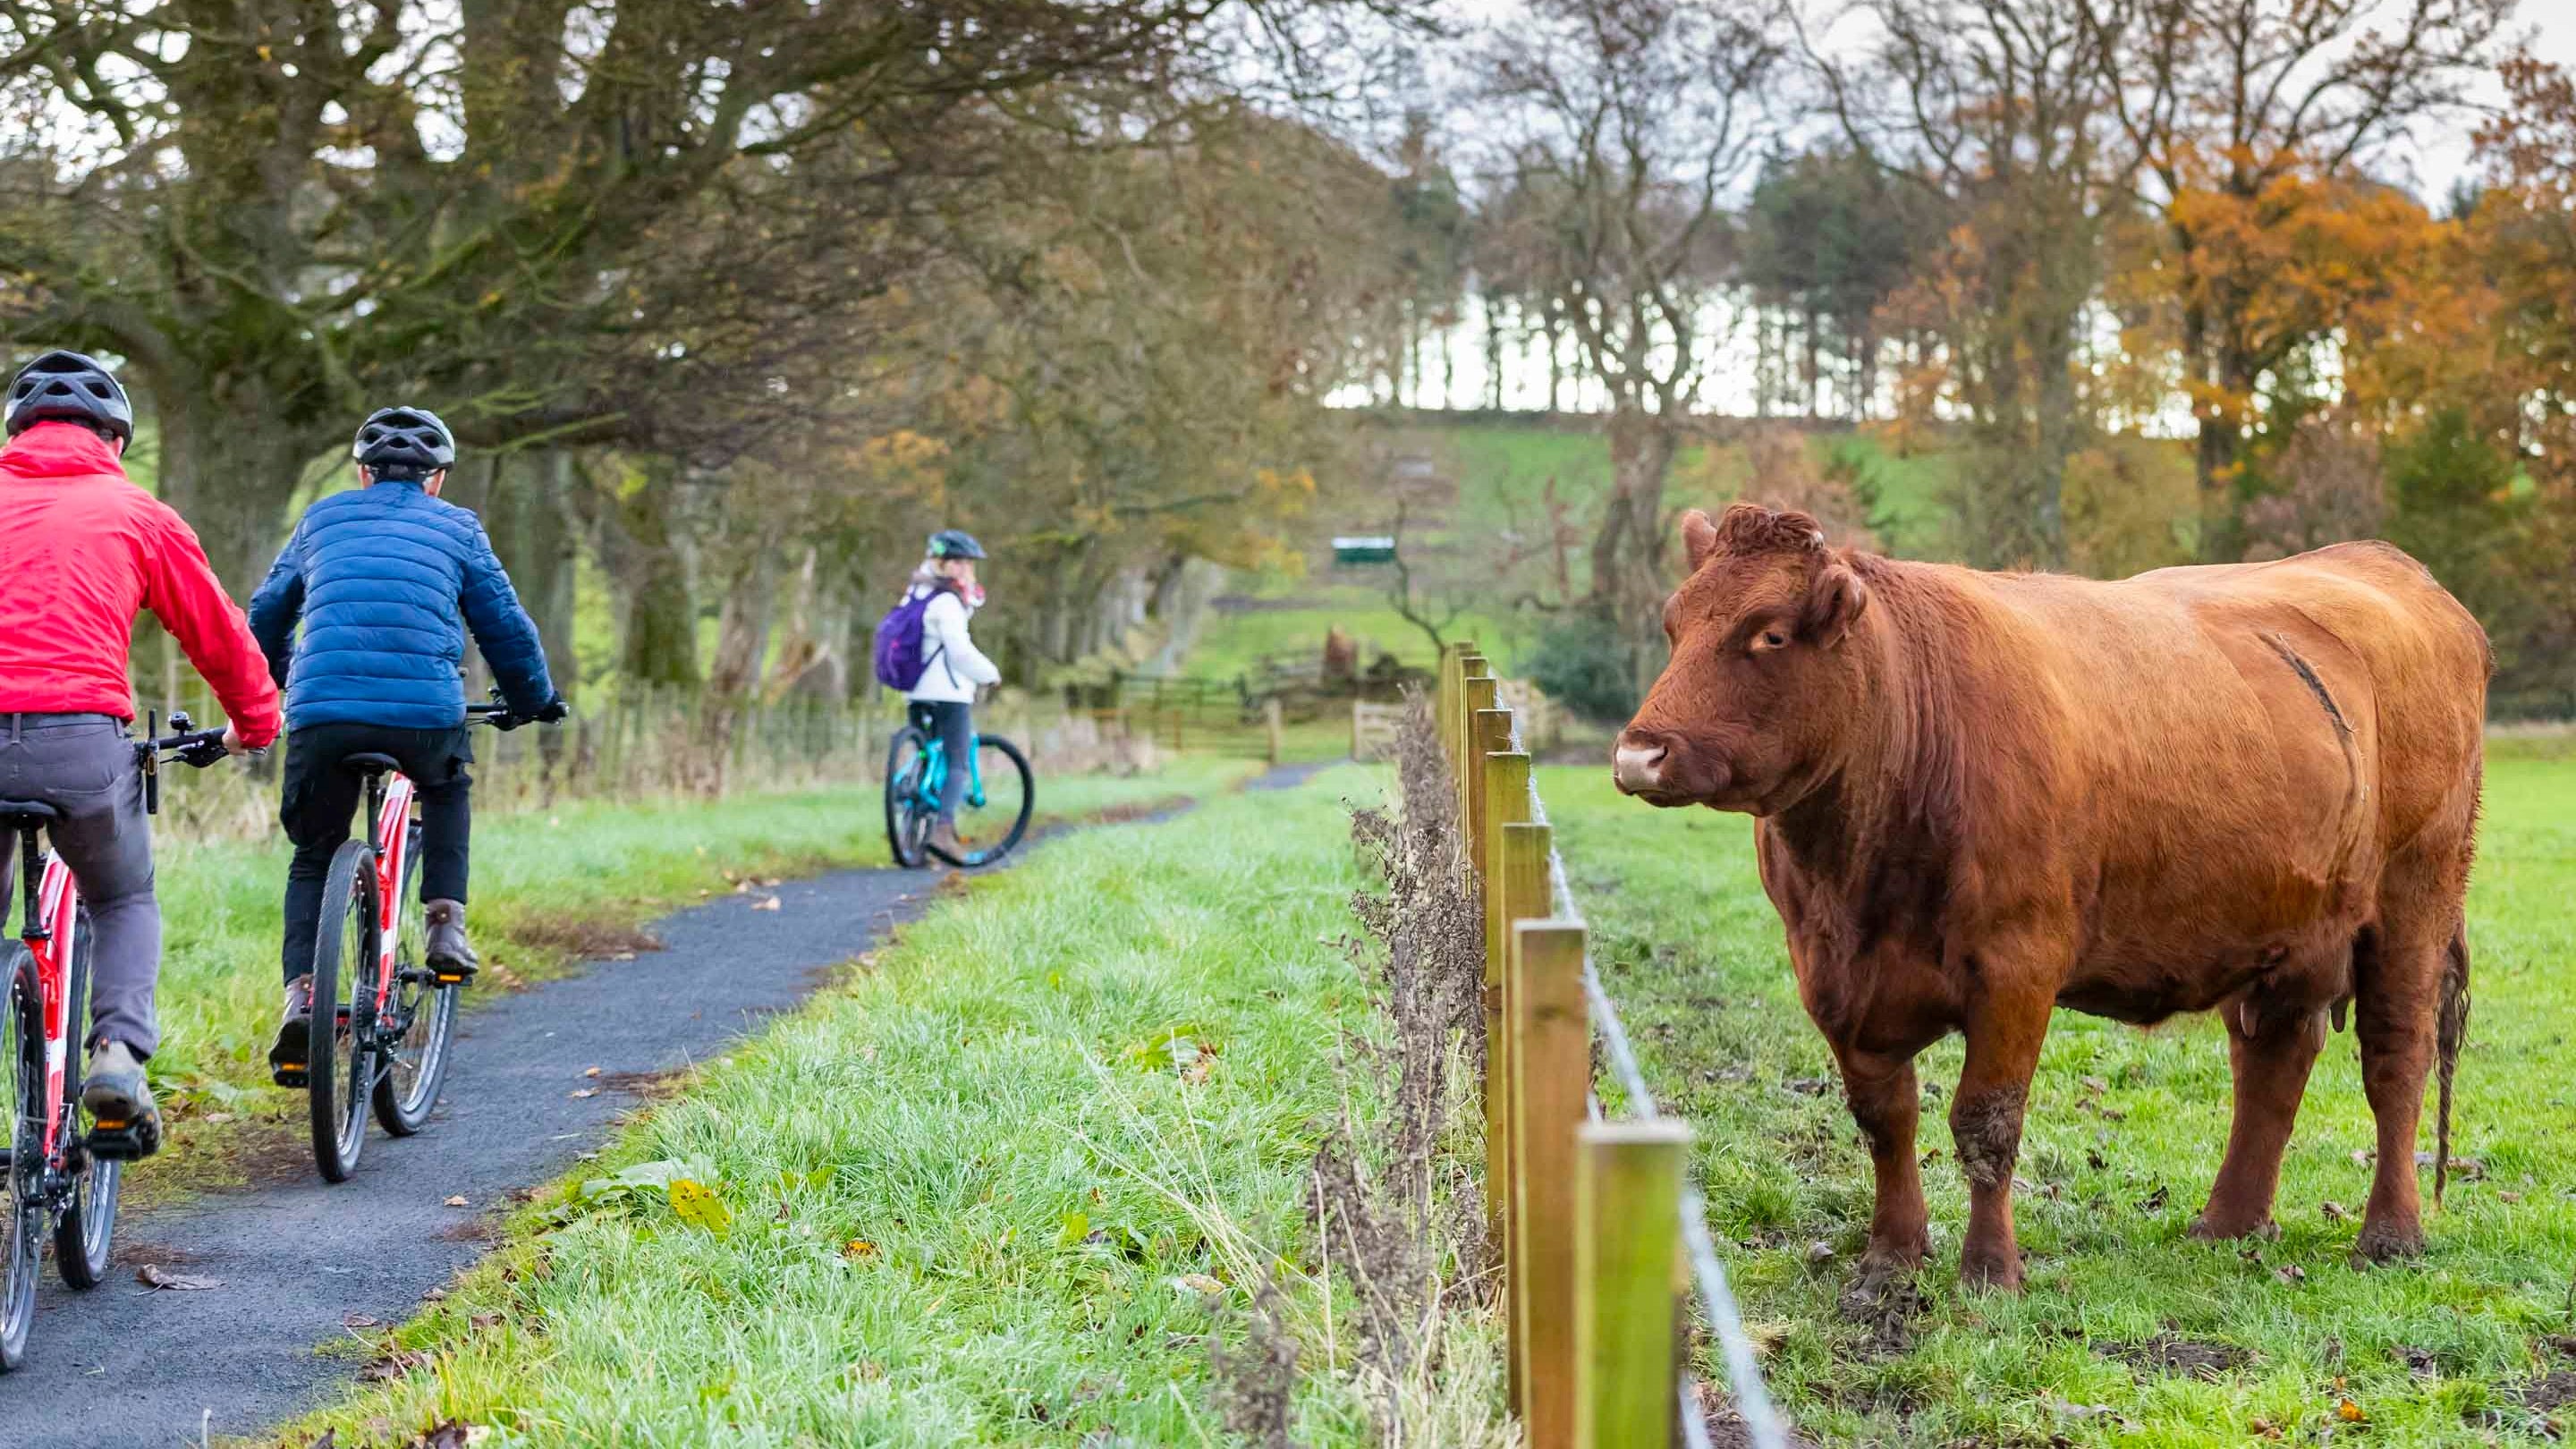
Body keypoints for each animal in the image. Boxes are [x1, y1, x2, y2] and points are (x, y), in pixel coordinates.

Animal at [1612, 503, 2488, 1293]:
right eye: (1674, 626)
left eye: (1769, 633)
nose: (1637, 754)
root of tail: (2386, 564)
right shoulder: (1830, 977)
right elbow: (1885, 1121)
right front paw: (1890, 1260)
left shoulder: (2017, 968)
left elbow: (1985, 1123)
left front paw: (1990, 1272)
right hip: (2287, 923)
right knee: (2272, 1060)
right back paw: (2229, 1224)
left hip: (2415, 898)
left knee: (2396, 1057)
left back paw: (2389, 1236)